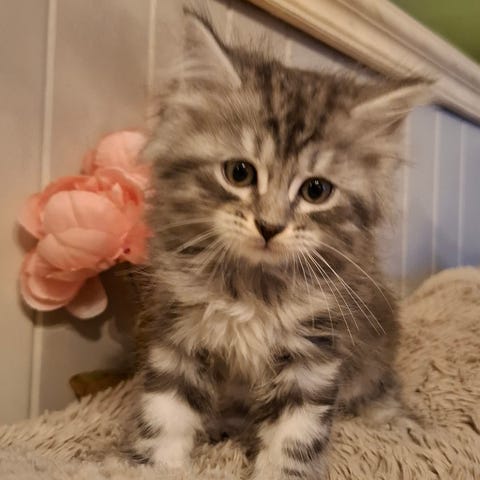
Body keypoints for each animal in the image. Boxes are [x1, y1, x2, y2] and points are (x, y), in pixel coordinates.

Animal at [128, 9, 428, 479]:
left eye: (316, 190)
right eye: (239, 172)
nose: (269, 226)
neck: (253, 286)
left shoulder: (314, 348)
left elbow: (294, 437)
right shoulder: (178, 331)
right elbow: (165, 413)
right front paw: (156, 468)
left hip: (375, 349)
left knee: (381, 389)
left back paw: (396, 422)